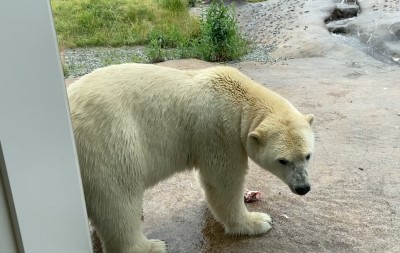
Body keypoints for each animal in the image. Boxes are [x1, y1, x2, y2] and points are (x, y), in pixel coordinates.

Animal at [67, 62, 314, 252]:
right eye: (283, 161)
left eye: (308, 155)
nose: (303, 188)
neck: (240, 98)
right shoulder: (220, 131)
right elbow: (224, 181)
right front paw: (258, 220)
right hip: (108, 144)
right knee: (118, 200)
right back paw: (152, 246)